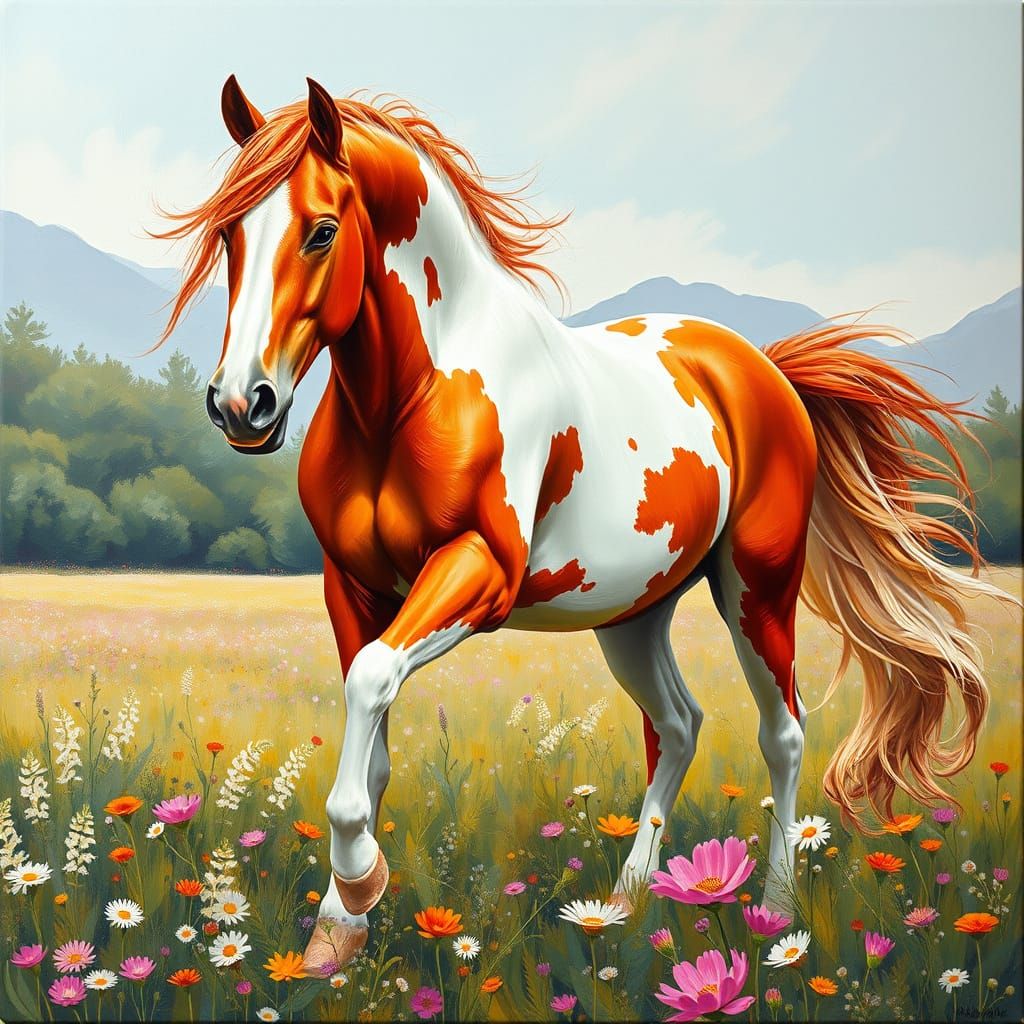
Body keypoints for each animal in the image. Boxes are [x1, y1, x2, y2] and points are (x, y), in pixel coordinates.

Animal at [158, 76, 1011, 972]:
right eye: (228, 234)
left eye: (322, 230)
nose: (241, 404)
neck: (411, 397)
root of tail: (764, 368)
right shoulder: (353, 588)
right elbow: (374, 733)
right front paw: (340, 927)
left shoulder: (479, 572)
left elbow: (370, 684)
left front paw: (358, 883)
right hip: (634, 614)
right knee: (677, 727)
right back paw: (629, 899)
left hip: (758, 590)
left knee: (781, 732)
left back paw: (775, 914)